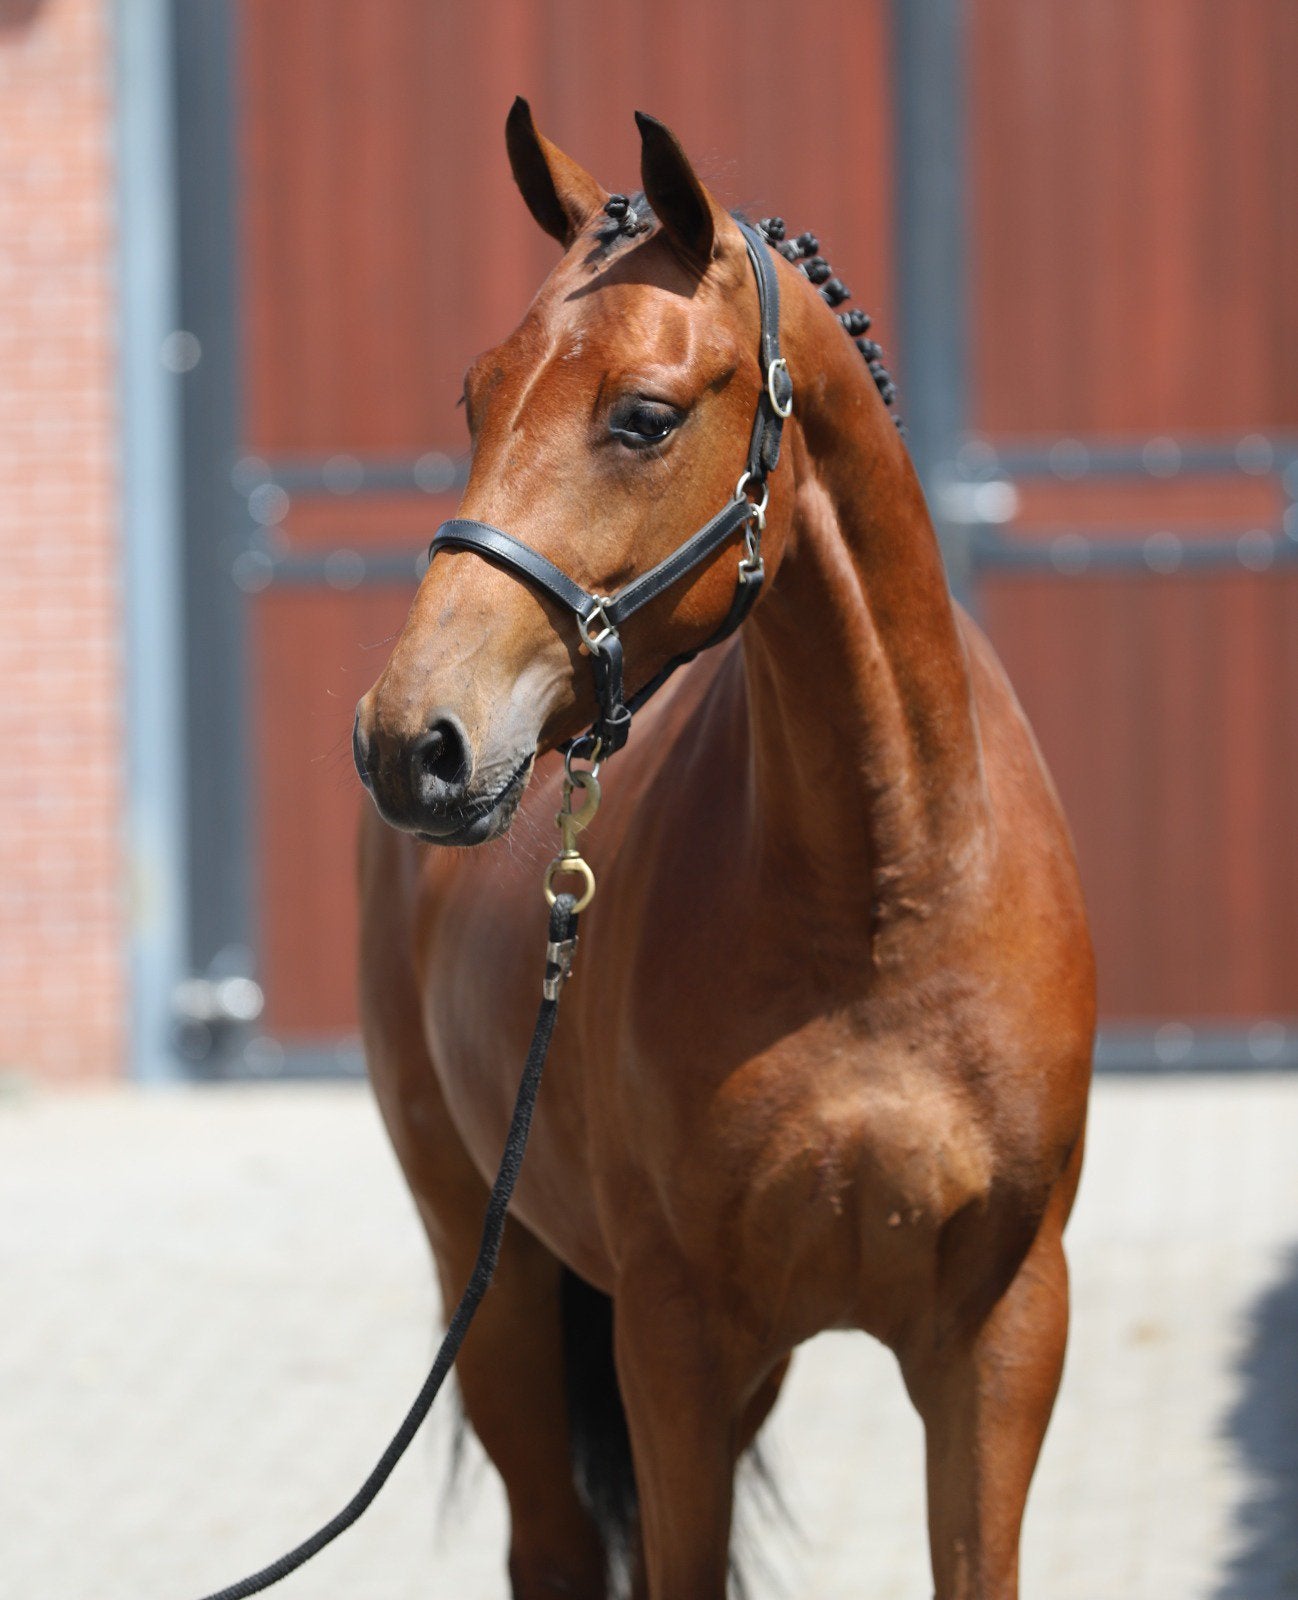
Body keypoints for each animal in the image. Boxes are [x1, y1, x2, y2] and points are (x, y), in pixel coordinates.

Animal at [352, 100, 1095, 1600]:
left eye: (641, 417)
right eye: (474, 397)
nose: (413, 742)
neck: (882, 900)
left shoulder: (1000, 1336)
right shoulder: (673, 1336)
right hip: (492, 1279)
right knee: (551, 1544)